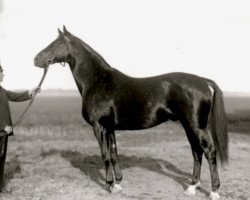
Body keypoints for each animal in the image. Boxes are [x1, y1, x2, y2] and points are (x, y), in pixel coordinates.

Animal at [33, 26, 229, 200]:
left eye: (58, 43)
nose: (36, 59)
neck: (98, 82)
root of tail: (203, 81)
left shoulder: (99, 127)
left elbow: (105, 155)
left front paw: (109, 185)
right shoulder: (109, 128)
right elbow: (113, 153)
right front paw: (118, 184)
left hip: (197, 126)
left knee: (209, 151)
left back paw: (214, 192)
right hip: (188, 126)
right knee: (196, 152)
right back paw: (191, 187)